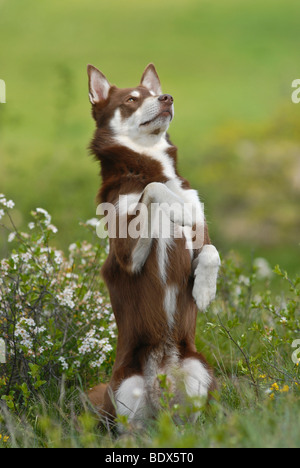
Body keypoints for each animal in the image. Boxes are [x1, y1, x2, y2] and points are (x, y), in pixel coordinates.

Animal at [86, 63, 220, 428]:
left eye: (154, 93)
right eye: (132, 99)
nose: (167, 97)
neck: (146, 164)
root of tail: (162, 379)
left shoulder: (200, 236)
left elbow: (211, 251)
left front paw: (204, 289)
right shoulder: (126, 255)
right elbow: (154, 190)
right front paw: (175, 207)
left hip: (199, 371)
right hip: (126, 390)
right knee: (131, 430)